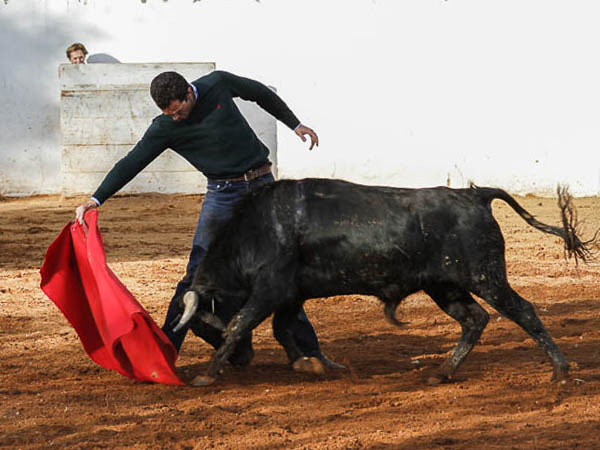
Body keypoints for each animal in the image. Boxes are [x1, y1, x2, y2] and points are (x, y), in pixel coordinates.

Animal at [173, 178, 596, 386]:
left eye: (200, 327)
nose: (244, 362)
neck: (257, 228)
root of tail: (474, 196)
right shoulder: (290, 295)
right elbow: (281, 329)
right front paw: (309, 365)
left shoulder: (270, 290)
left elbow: (240, 323)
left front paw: (206, 375)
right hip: (446, 286)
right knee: (475, 320)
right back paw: (442, 372)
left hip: (483, 276)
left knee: (522, 311)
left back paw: (561, 372)